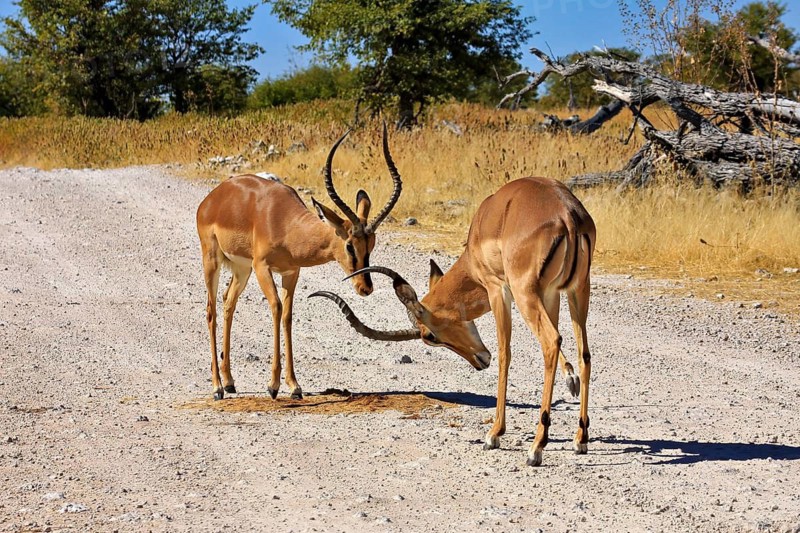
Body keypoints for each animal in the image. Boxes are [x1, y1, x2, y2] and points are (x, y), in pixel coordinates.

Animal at [196, 125, 402, 401]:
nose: (365, 287)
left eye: (372, 245)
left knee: (228, 302)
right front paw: (273, 386)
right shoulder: (263, 268)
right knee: (211, 310)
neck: (286, 224)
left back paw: (229, 382)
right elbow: (276, 308)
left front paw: (294, 386)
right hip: (213, 260)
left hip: (242, 268)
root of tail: (211, 199)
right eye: (350, 245)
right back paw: (217, 387)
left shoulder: (291, 272)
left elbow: (288, 316)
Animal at [311, 177, 595, 466]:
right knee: (584, 353)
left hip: (526, 292)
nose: (481, 361)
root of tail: (567, 216)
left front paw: (494, 434)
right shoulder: (551, 293)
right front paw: (570, 380)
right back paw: (580, 438)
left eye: (430, 336)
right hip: (578, 289)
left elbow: (505, 355)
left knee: (550, 341)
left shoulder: (497, 289)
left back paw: (536, 448)